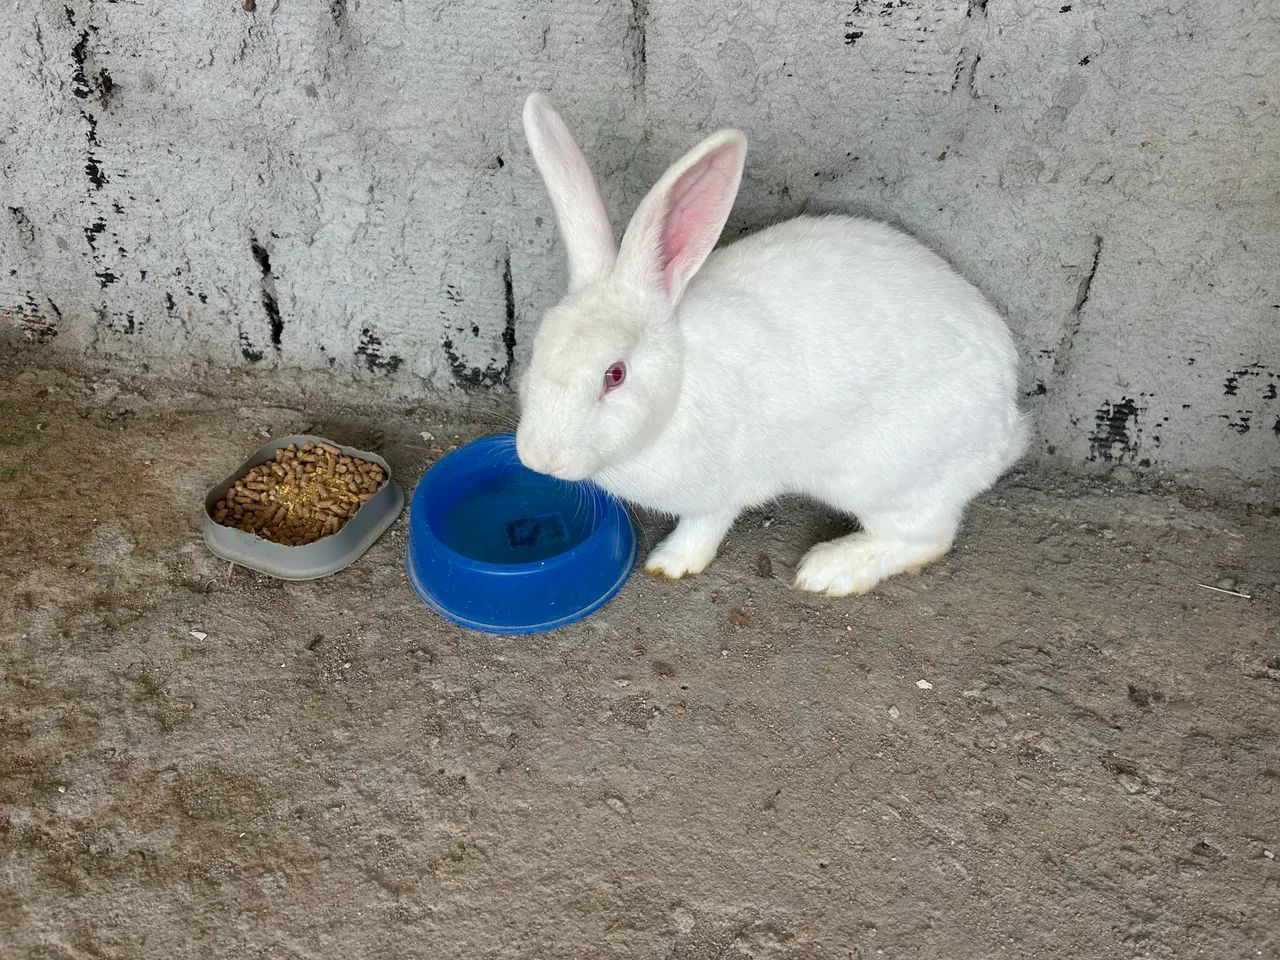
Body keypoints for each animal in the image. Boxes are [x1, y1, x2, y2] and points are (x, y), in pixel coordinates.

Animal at [515, 93, 1030, 595]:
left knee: (927, 538)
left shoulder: (722, 488)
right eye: (536, 351)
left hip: (884, 477)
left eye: (615, 375)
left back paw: (829, 570)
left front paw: (670, 562)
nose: (539, 458)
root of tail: (1006, 425)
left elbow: (704, 524)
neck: (677, 388)